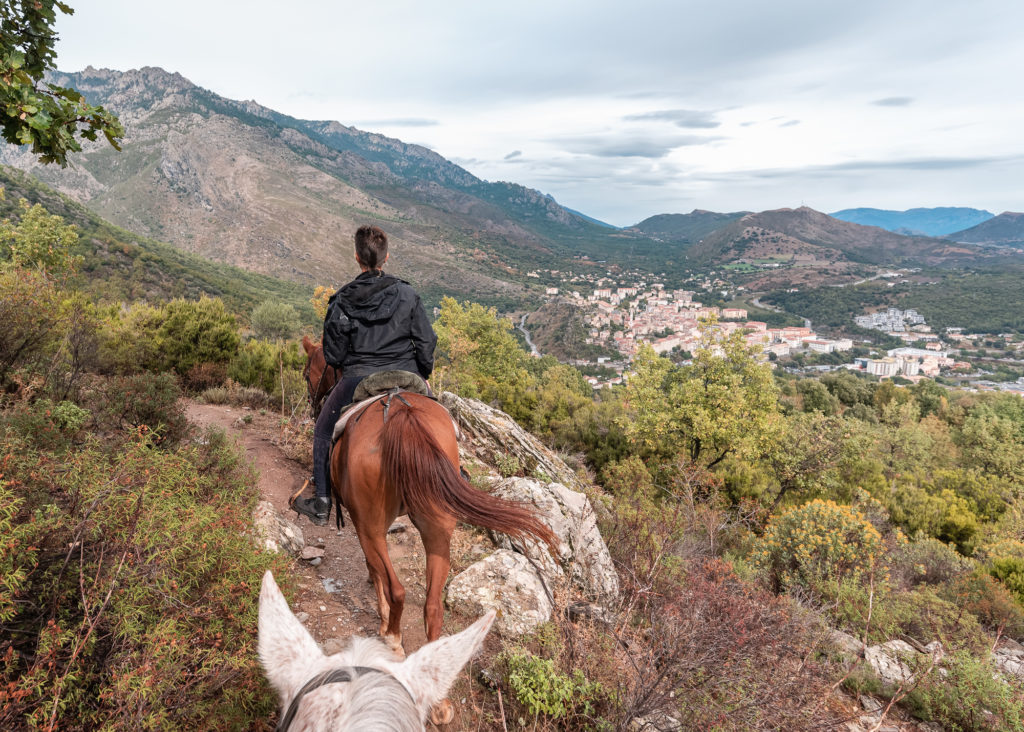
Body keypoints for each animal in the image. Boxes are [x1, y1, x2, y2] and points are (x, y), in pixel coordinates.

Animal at [303, 343, 557, 720]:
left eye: (309, 371)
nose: (313, 400)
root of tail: (400, 413)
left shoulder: (362, 523)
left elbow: (374, 569)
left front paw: (379, 614)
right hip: (437, 529)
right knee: (433, 605)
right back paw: (438, 697)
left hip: (372, 524)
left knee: (397, 588)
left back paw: (392, 638)